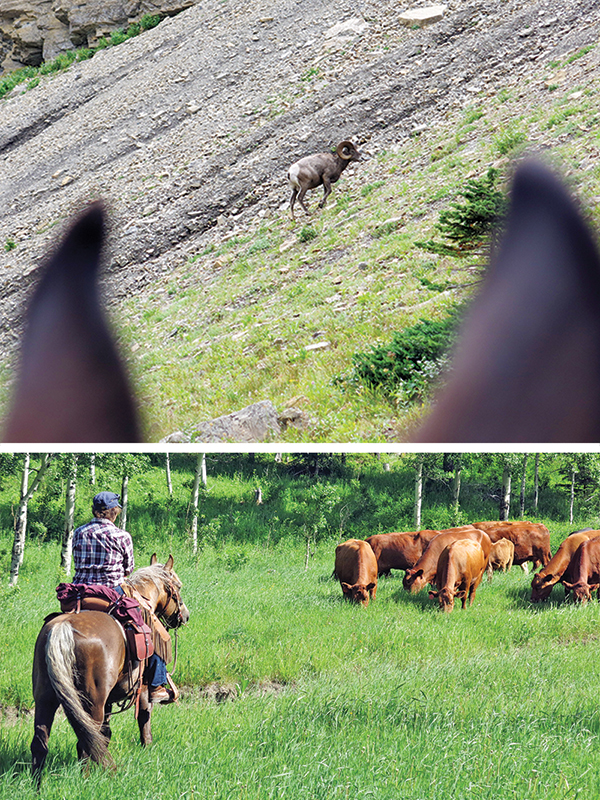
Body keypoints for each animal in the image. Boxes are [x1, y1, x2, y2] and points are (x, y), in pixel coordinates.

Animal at [30, 554, 189, 786]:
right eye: (178, 585)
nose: (185, 616)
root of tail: (62, 629)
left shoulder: (107, 703)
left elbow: (106, 733)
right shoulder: (141, 688)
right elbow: (144, 717)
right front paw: (147, 746)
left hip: (44, 697)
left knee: (41, 743)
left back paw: (37, 786)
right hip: (92, 701)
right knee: (86, 742)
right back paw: (87, 780)